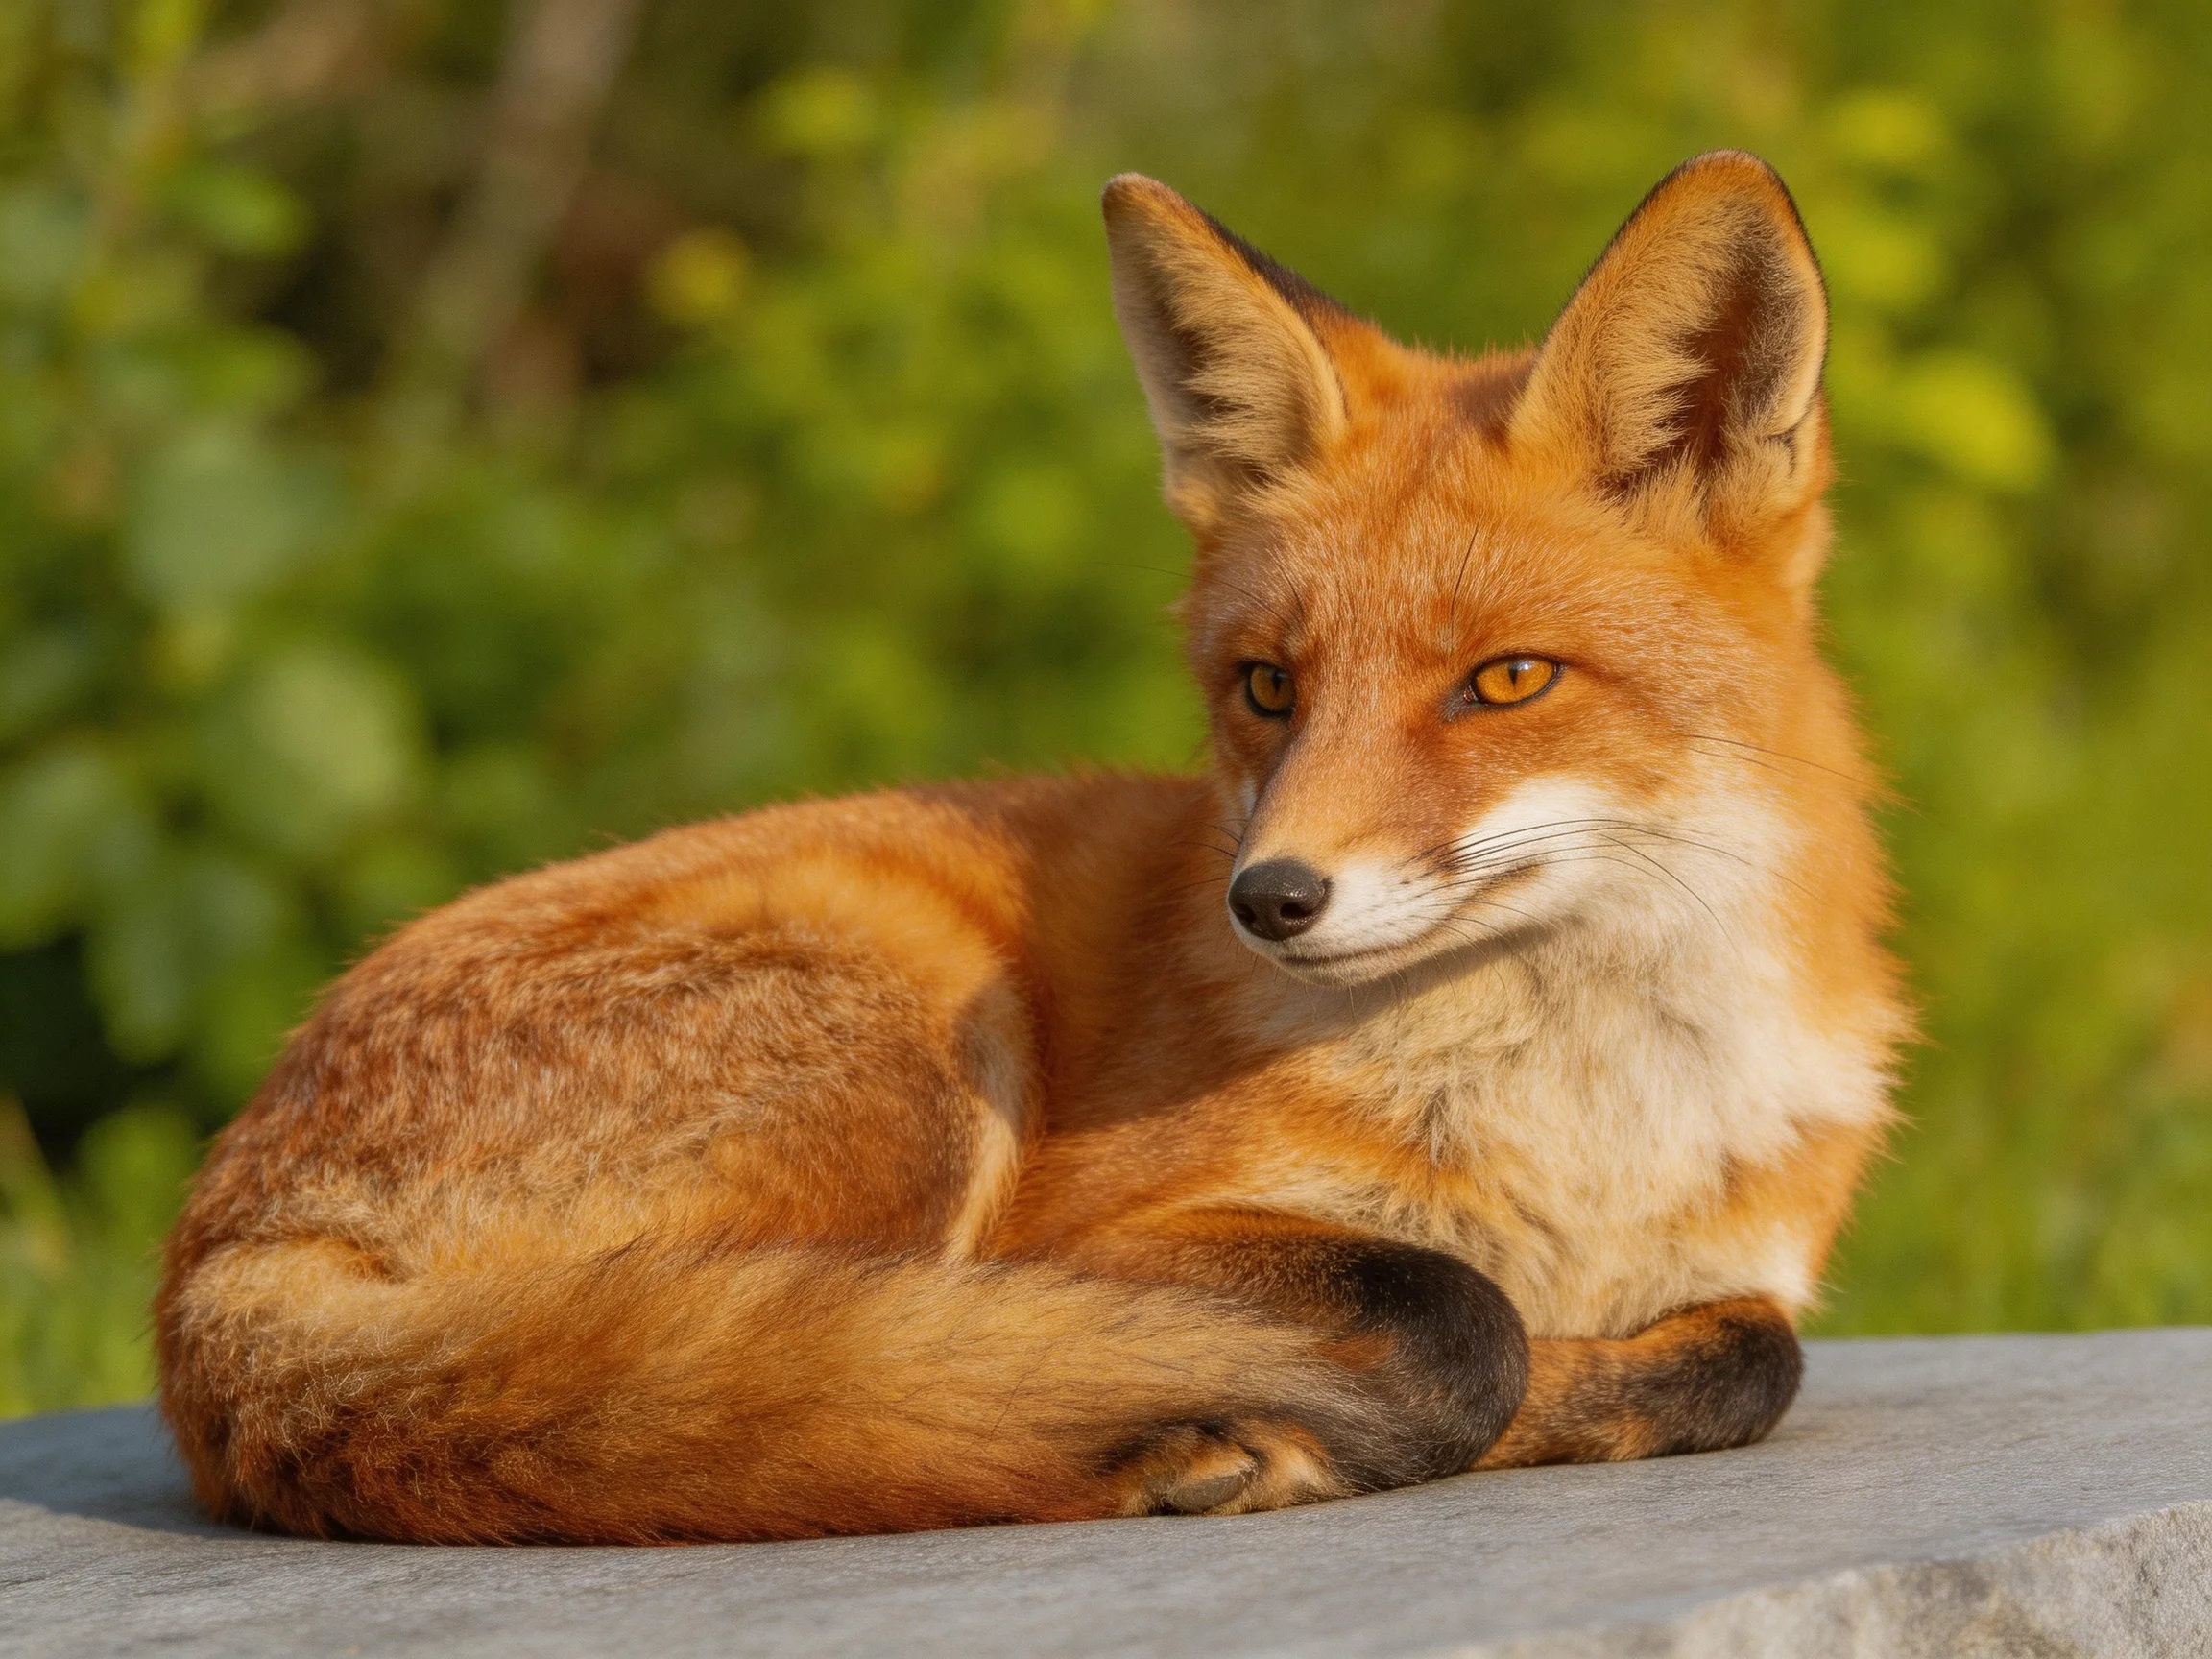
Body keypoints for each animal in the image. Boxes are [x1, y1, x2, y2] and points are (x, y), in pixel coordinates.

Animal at [155, 151, 1906, 1543]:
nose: (1269, 899)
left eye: (1506, 682)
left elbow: (1748, 1356)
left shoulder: (1740, 1270)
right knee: (774, 1393)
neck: (1587, 1144)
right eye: (1267, 687)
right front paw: (1310, 1424)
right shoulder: (1101, 1229)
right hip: (921, 1054)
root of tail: (220, 1242)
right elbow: (1463, 1319)